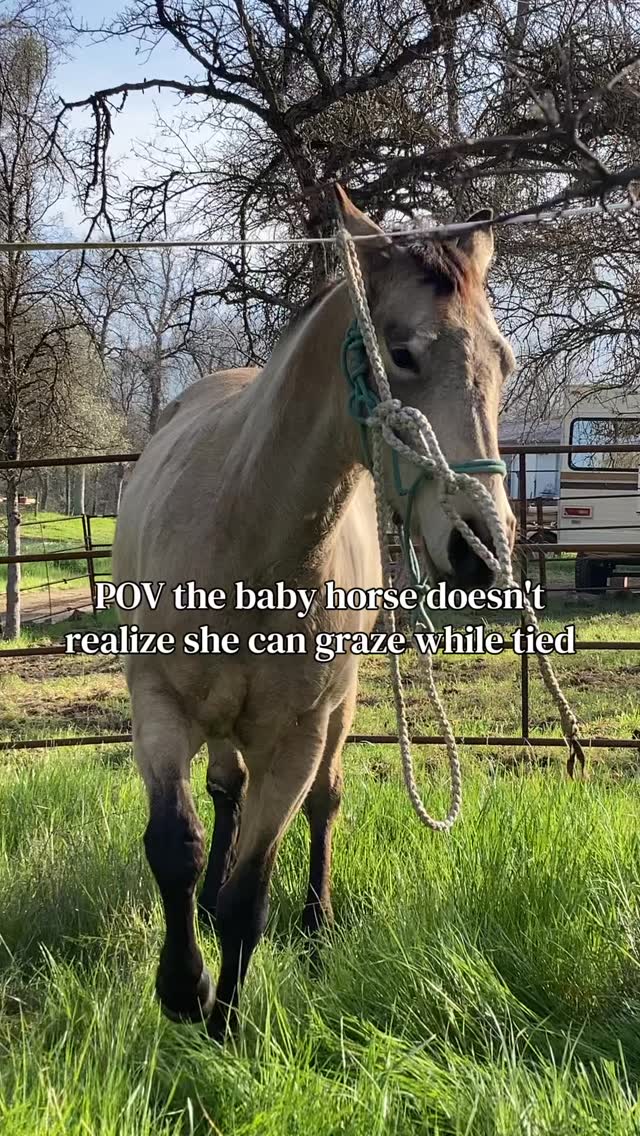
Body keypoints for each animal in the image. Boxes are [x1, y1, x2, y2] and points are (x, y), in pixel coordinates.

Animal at [112, 184, 517, 1040]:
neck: (246, 530)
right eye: (402, 352)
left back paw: (317, 924)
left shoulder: (297, 737)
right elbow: (175, 845)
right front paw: (182, 987)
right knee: (224, 792)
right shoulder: (158, 704)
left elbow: (252, 891)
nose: (481, 547)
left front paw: (222, 1022)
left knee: (324, 805)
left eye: (503, 360)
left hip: (339, 709)